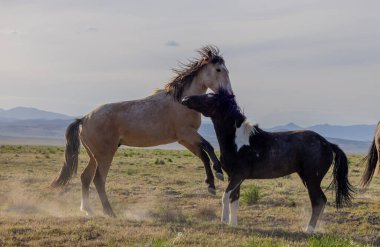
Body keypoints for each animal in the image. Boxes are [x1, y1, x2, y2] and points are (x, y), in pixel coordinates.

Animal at [181, 89, 354, 233]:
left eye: (210, 97)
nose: (185, 99)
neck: (238, 141)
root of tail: (328, 144)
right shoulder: (234, 178)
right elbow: (234, 199)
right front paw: (233, 224)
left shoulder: (237, 176)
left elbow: (225, 196)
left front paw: (223, 221)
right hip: (308, 178)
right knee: (322, 201)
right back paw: (315, 229)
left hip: (312, 178)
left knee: (318, 201)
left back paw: (308, 230)